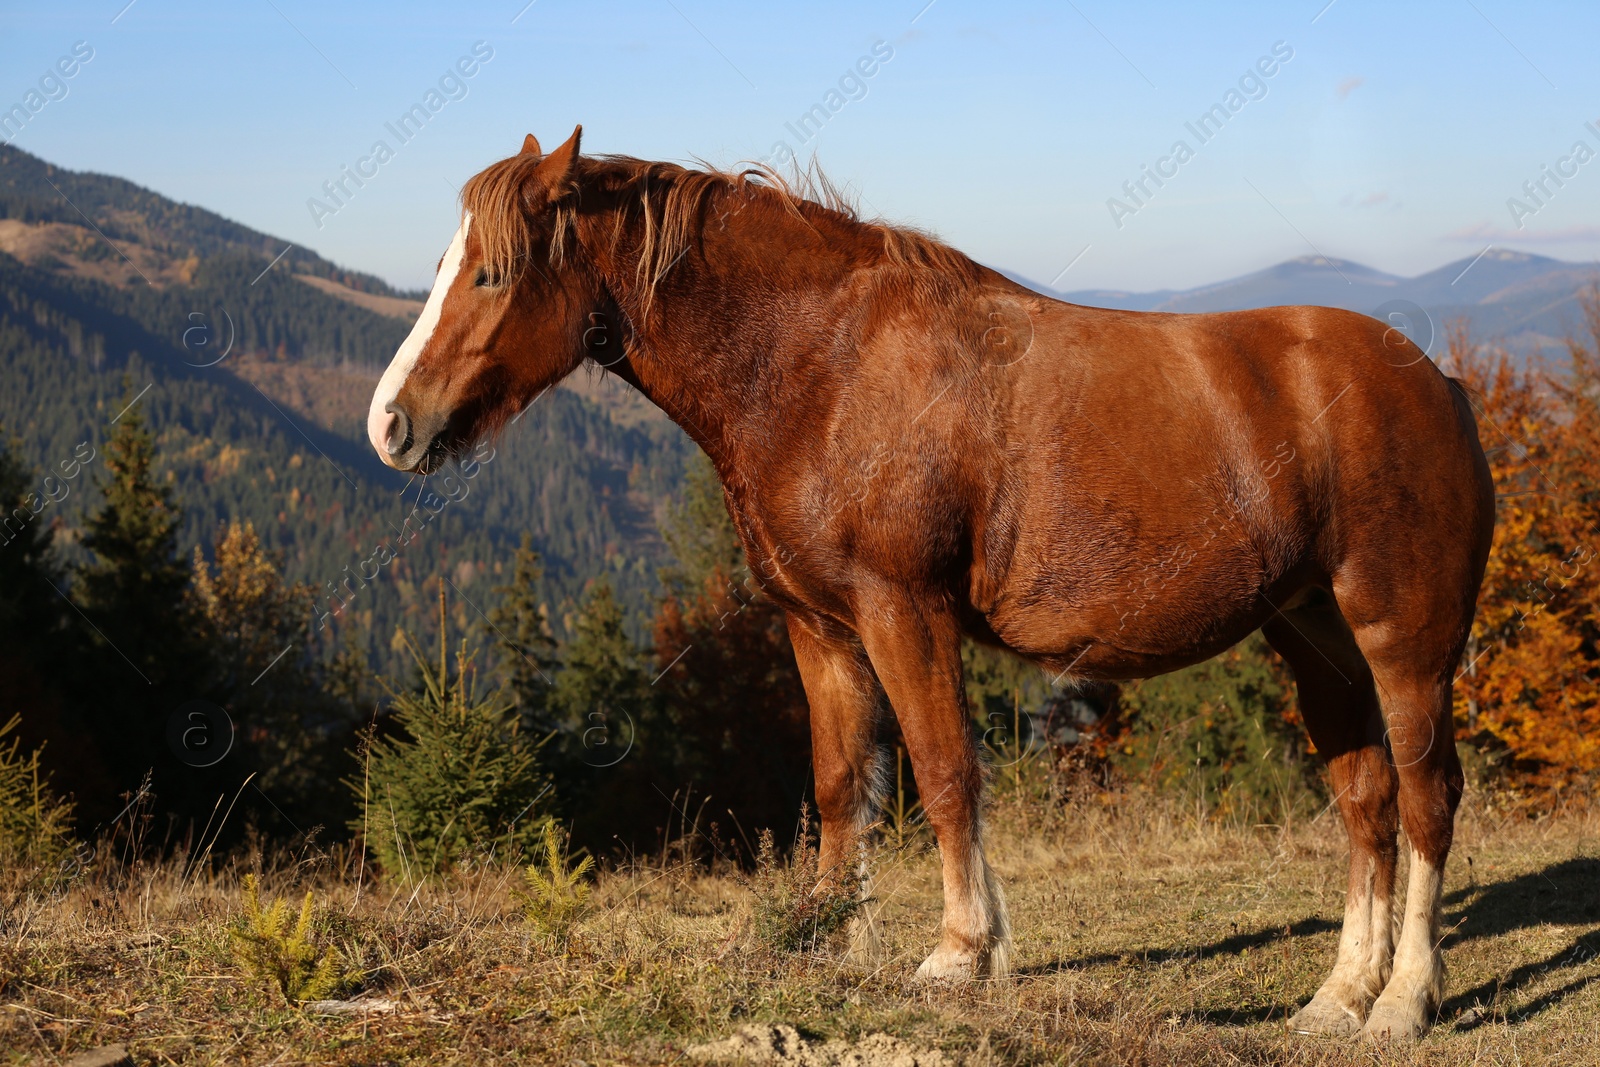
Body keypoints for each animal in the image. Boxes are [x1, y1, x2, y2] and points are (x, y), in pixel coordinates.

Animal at [368, 129, 1491, 1036]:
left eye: (490, 274)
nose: (390, 424)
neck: (822, 366)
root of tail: (1433, 379)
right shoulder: (819, 627)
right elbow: (840, 783)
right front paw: (834, 938)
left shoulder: (904, 610)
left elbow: (946, 772)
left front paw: (959, 952)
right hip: (1316, 639)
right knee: (1366, 802)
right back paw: (1339, 996)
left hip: (1403, 640)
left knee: (1428, 796)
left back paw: (1402, 1001)